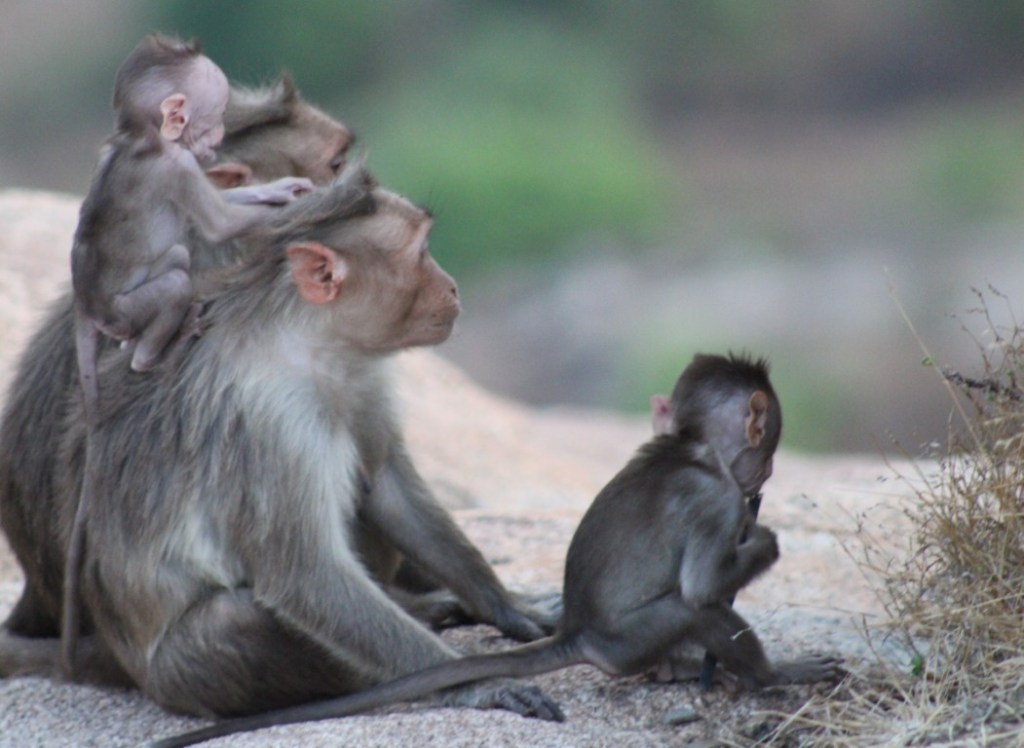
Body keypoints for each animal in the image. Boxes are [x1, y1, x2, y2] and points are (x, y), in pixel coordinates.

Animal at [0, 168, 560, 722]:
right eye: (421, 253)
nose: (452, 287)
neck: (310, 344)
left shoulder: (362, 377)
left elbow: (387, 485)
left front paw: (511, 608)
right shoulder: (271, 425)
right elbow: (307, 577)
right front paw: (477, 681)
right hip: (181, 674)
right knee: (233, 619)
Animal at [60, 35, 315, 678]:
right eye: (214, 113)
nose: (218, 134)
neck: (143, 139)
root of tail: (86, 306)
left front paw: (282, 190)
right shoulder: (177, 169)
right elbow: (219, 222)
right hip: (129, 306)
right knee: (175, 271)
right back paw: (155, 351)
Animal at [151, 353, 844, 748]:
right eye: (768, 446)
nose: (763, 475)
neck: (692, 449)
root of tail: (579, 634)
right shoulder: (716, 501)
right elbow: (703, 585)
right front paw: (765, 543)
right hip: (632, 637)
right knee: (699, 610)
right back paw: (772, 673)